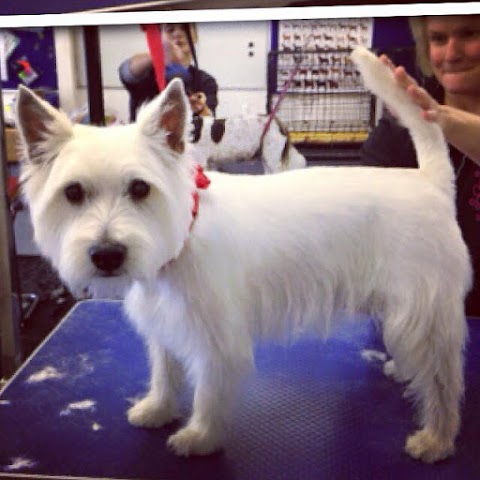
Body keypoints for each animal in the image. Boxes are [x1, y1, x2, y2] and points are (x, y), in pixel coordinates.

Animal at [16, 47, 470, 464]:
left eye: (140, 188)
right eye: (73, 192)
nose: (107, 255)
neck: (183, 235)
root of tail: (430, 181)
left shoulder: (217, 338)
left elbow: (208, 391)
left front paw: (200, 437)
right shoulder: (165, 324)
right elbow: (165, 371)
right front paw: (158, 409)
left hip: (424, 309)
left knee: (444, 379)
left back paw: (436, 439)